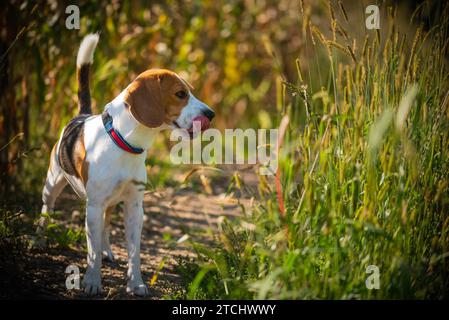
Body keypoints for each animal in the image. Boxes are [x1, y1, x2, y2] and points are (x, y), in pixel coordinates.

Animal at [37, 33, 214, 296]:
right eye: (181, 94)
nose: (211, 114)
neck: (124, 143)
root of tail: (81, 115)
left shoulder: (134, 207)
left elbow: (134, 253)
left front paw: (136, 283)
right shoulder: (94, 205)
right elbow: (91, 252)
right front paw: (91, 281)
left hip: (110, 202)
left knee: (105, 226)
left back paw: (107, 250)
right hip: (52, 184)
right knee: (46, 211)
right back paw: (38, 240)